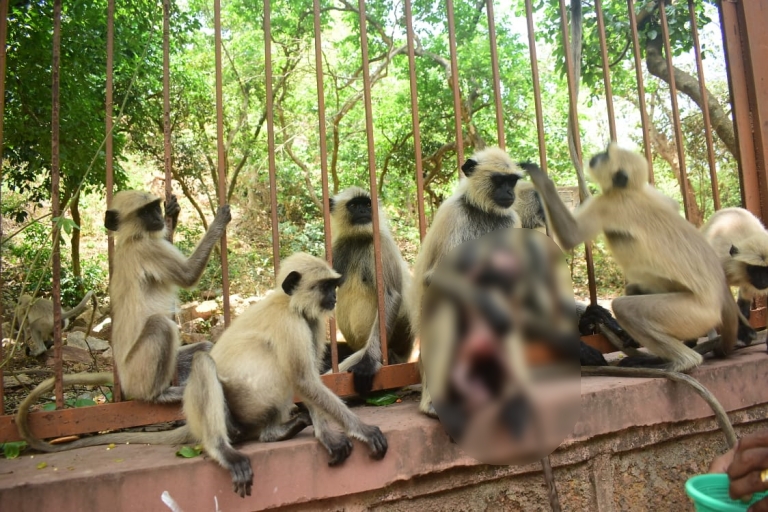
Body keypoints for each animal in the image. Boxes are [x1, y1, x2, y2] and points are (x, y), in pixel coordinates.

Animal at [16, 254, 390, 498]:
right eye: (325, 286)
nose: (334, 297)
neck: (289, 305)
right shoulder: (292, 323)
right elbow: (304, 380)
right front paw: (362, 429)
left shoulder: (310, 324)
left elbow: (308, 381)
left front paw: (327, 435)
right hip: (225, 412)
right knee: (204, 365)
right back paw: (224, 448)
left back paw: (276, 431)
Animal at [322, 188, 416, 396]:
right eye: (354, 205)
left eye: (367, 204)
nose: (364, 211)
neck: (359, 239)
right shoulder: (338, 248)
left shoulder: (382, 246)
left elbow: (390, 295)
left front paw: (369, 362)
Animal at [520, 143, 736, 372]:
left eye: (605, 156)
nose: (596, 156)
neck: (629, 191)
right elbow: (672, 206)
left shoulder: (608, 203)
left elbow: (570, 235)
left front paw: (539, 176)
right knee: (635, 289)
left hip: (693, 312)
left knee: (625, 308)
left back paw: (681, 362)